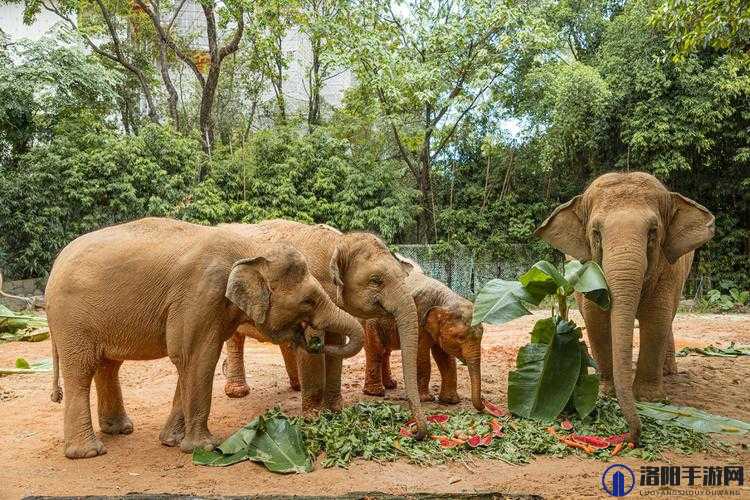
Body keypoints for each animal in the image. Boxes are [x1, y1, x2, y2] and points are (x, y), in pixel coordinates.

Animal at [45, 217, 364, 459]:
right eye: (308, 301)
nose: (316, 341)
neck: (251, 248)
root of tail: (54, 267)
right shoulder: (200, 295)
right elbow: (198, 357)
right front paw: (205, 448)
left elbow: (188, 361)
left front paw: (171, 441)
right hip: (72, 320)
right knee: (82, 370)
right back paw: (89, 452)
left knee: (108, 365)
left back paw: (120, 430)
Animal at [221, 220, 429, 438]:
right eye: (376, 280)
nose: (413, 429)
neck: (339, 242)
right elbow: (313, 345)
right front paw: (313, 418)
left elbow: (336, 342)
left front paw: (335, 412)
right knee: (235, 339)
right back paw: (238, 393)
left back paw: (296, 386)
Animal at [362, 256, 484, 410]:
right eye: (460, 337)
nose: (484, 405)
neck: (446, 299)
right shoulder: (420, 317)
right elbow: (422, 354)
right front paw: (426, 399)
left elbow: (444, 357)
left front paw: (451, 401)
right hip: (370, 322)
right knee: (376, 350)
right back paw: (376, 392)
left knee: (385, 351)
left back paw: (391, 385)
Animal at [536, 172, 714, 444]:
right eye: (596, 233)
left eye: (653, 232)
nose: (632, 436)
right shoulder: (587, 271)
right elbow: (596, 320)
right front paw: (606, 393)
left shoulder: (669, 268)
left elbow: (657, 317)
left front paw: (650, 400)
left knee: (669, 318)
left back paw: (668, 372)